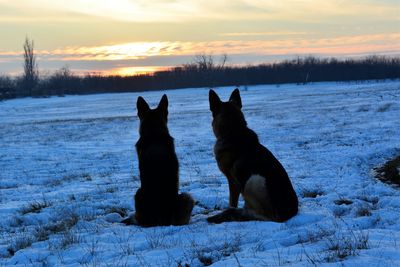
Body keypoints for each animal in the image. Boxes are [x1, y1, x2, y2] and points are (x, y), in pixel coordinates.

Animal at [206, 89, 296, 223]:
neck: (233, 131)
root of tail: (289, 214)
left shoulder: (233, 182)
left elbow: (232, 201)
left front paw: (228, 210)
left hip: (254, 179)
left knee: (264, 216)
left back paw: (237, 213)